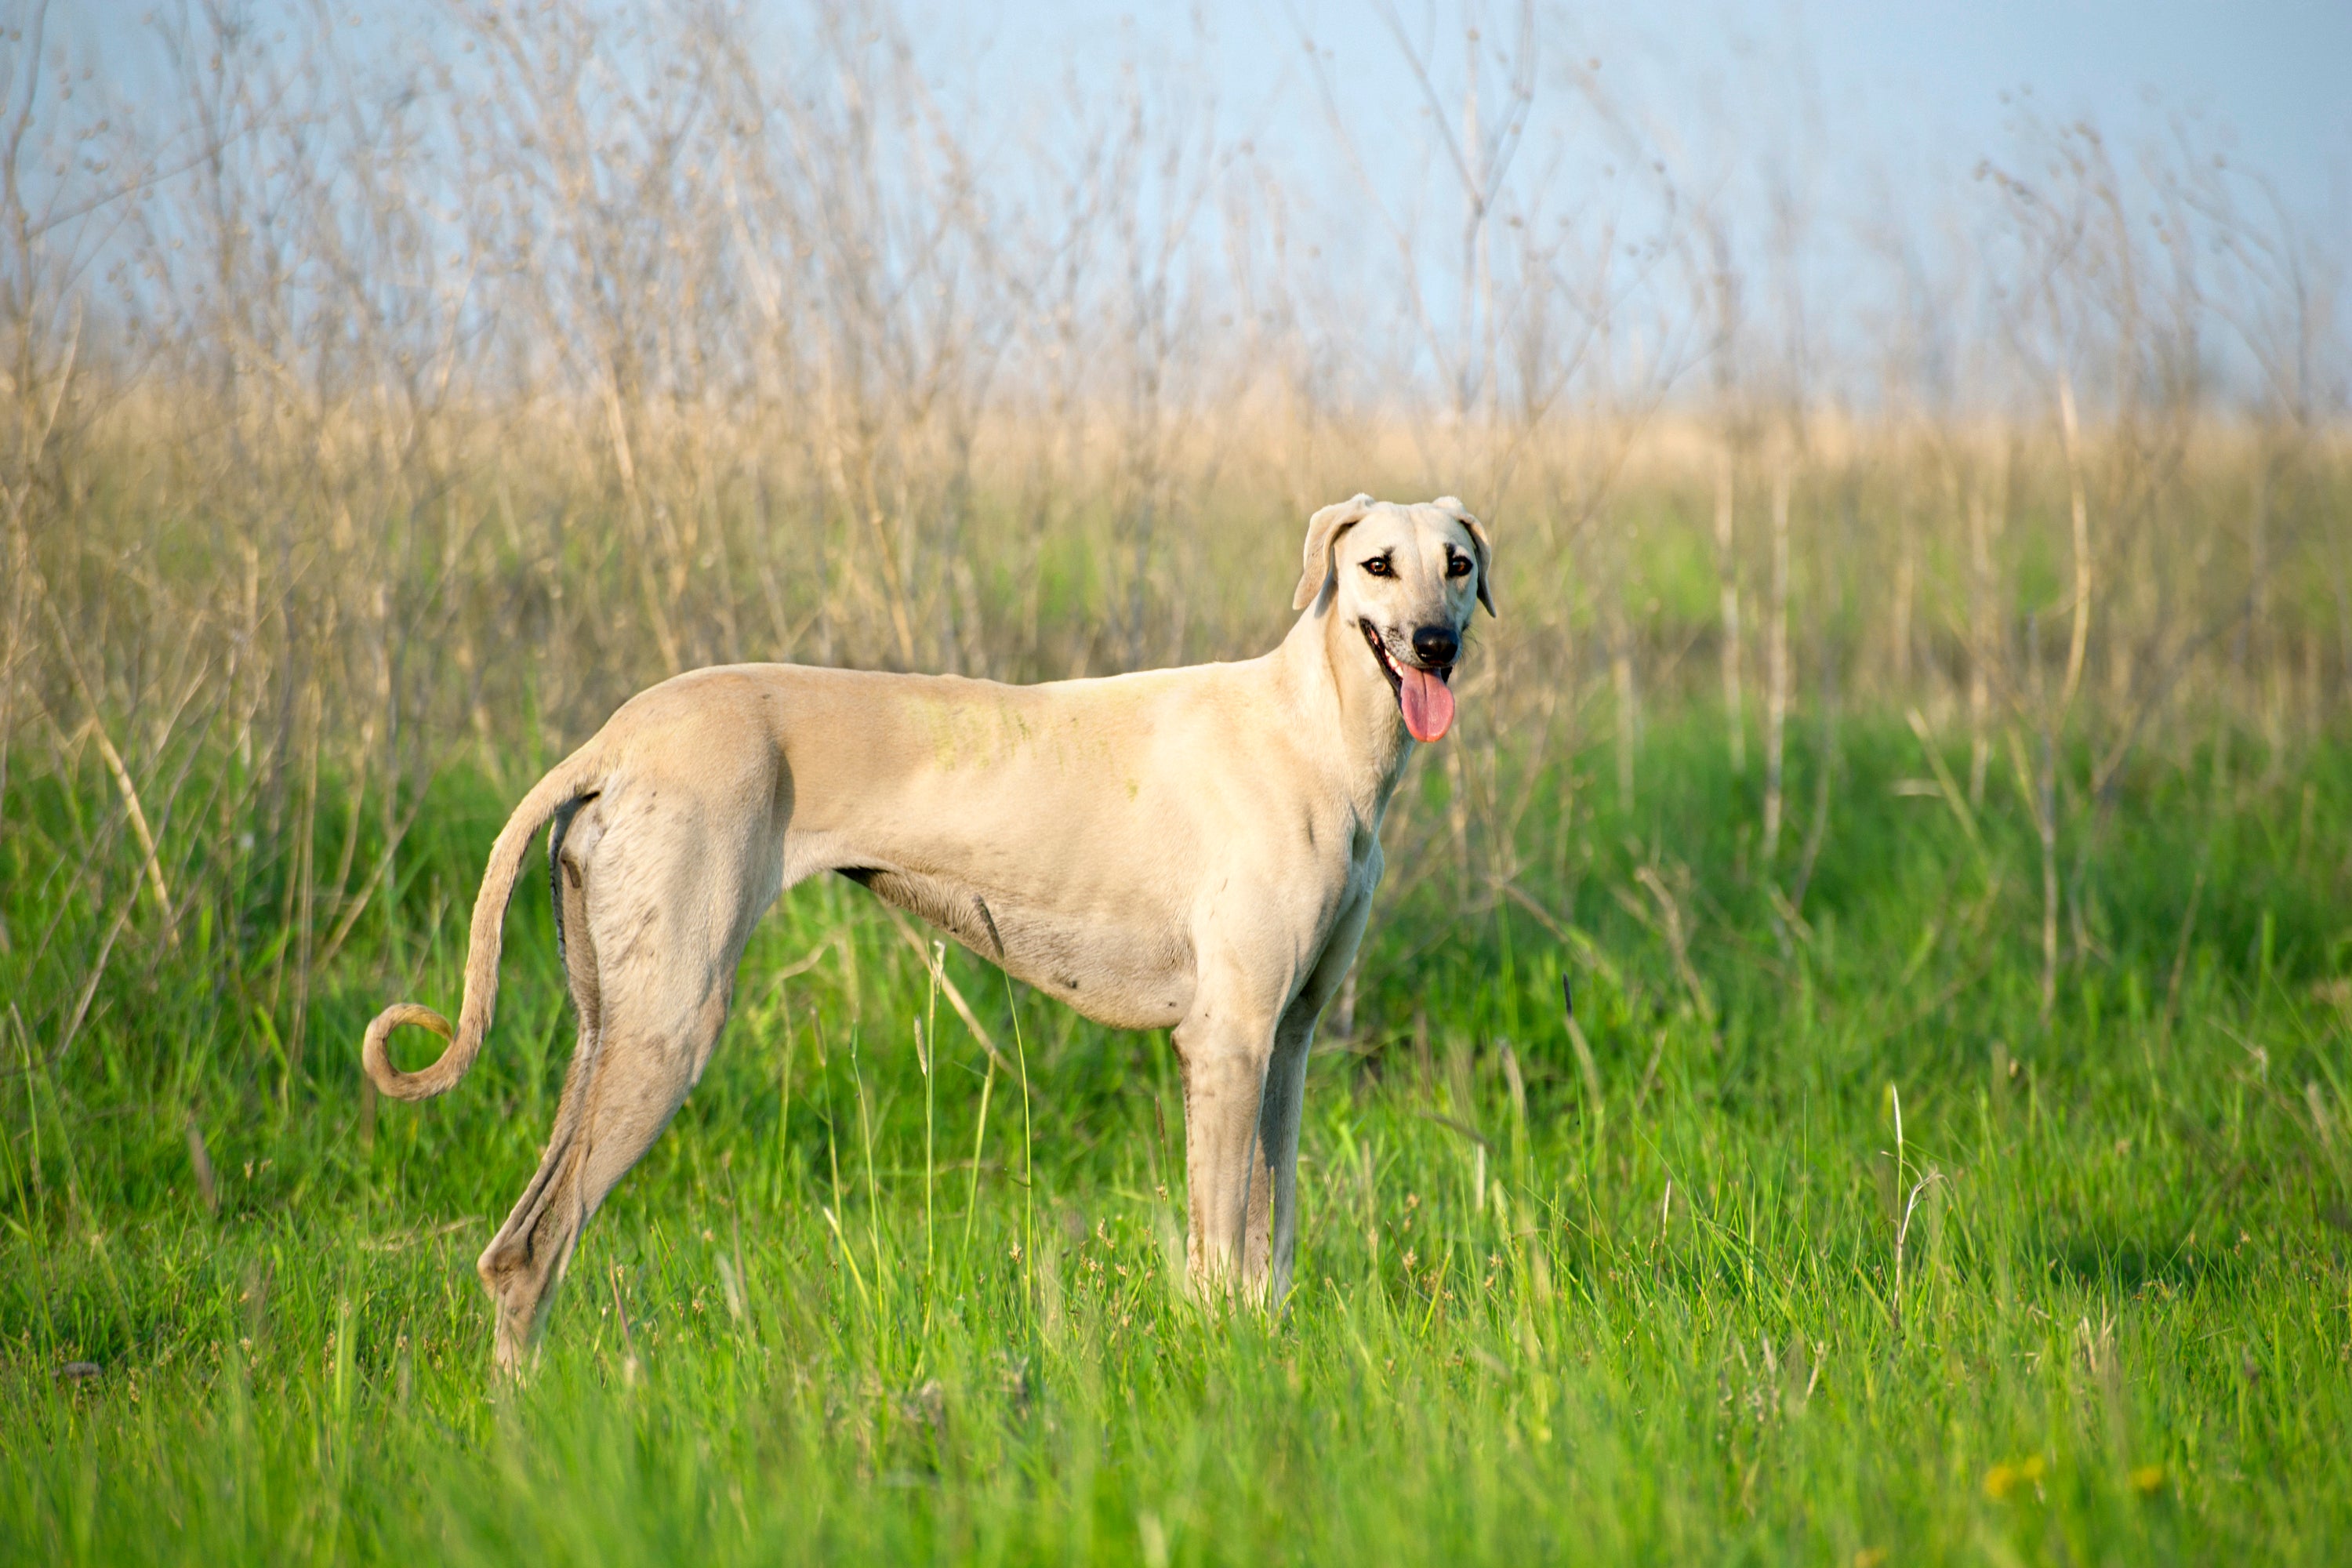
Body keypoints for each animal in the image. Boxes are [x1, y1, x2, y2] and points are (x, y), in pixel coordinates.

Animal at [358, 495, 1496, 1363]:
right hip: (668, 1030)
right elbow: (1219, 1250)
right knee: (529, 1251)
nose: (1436, 644)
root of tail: (614, 738)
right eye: (1376, 565)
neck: (1311, 728)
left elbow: (1273, 1234)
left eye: (1459, 564)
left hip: (608, 1027)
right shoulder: (1225, 1042)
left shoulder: (1286, 1044)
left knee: (518, 1244)